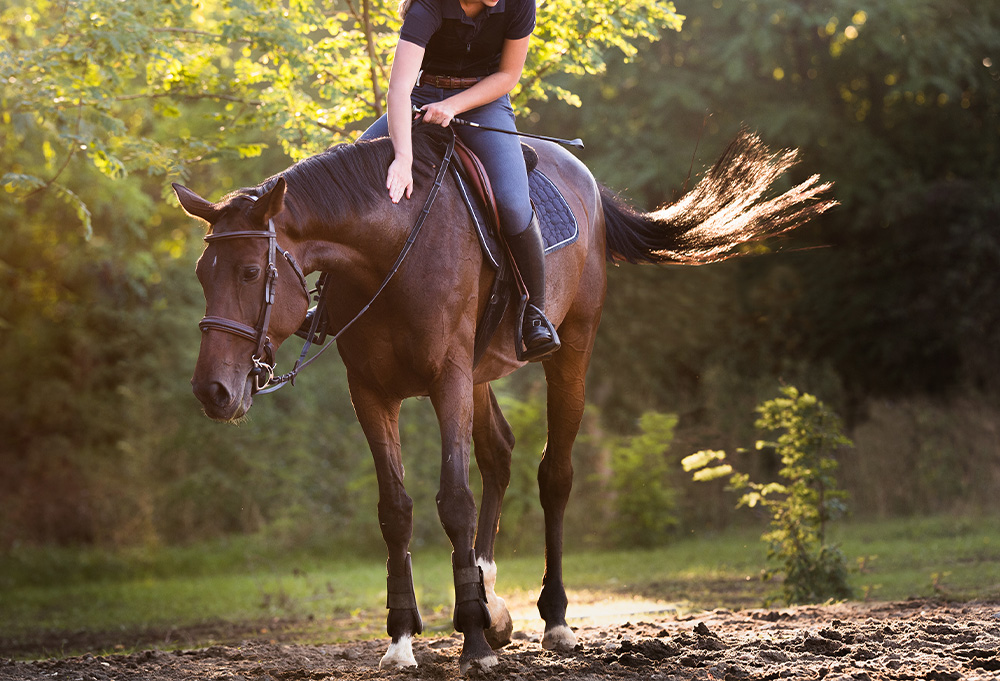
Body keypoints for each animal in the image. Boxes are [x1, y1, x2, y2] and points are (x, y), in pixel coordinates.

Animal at [174, 123, 836, 676]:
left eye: (250, 274)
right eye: (204, 273)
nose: (212, 391)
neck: (389, 252)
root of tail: (584, 179)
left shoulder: (446, 381)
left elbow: (455, 501)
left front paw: (470, 640)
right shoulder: (371, 393)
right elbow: (396, 509)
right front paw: (404, 638)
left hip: (568, 355)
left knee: (554, 475)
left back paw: (553, 619)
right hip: (481, 375)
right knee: (499, 454)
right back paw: (491, 599)